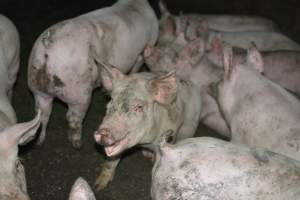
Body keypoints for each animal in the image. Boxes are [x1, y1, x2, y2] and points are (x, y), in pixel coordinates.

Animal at [27, 0, 158, 148]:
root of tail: (48, 44)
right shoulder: (146, 47)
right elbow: (137, 65)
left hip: (37, 85)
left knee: (42, 115)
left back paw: (39, 142)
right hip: (78, 91)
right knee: (72, 118)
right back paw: (77, 143)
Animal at [93, 61, 202, 190]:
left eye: (138, 107)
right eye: (110, 101)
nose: (103, 132)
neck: (145, 141)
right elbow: (111, 161)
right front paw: (97, 186)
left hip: (190, 124)